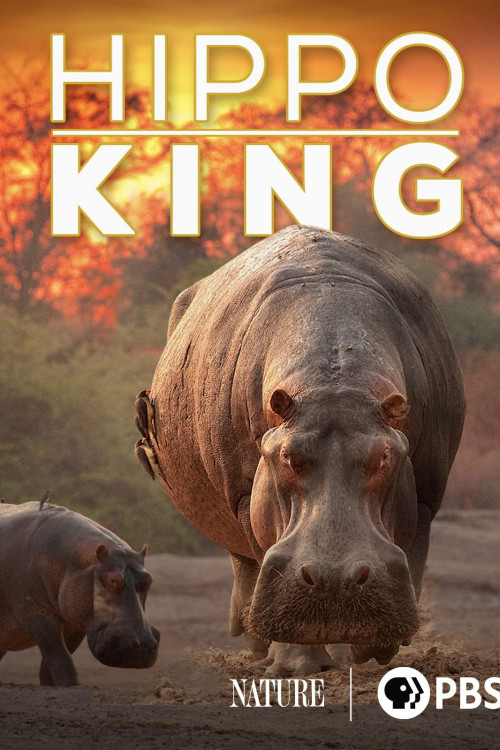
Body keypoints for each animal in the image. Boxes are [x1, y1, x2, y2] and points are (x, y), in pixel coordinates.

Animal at [0, 502, 160, 686]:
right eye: (113, 580)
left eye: (149, 579)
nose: (145, 645)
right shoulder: (37, 614)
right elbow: (59, 657)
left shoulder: (75, 623)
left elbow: (53, 663)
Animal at [151, 225, 465, 675]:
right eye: (285, 456)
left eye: (385, 456)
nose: (335, 579)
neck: (334, 381)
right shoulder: (247, 492)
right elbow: (262, 550)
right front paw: (297, 666)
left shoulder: (424, 492)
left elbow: (413, 558)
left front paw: (372, 650)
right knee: (246, 566)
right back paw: (260, 647)